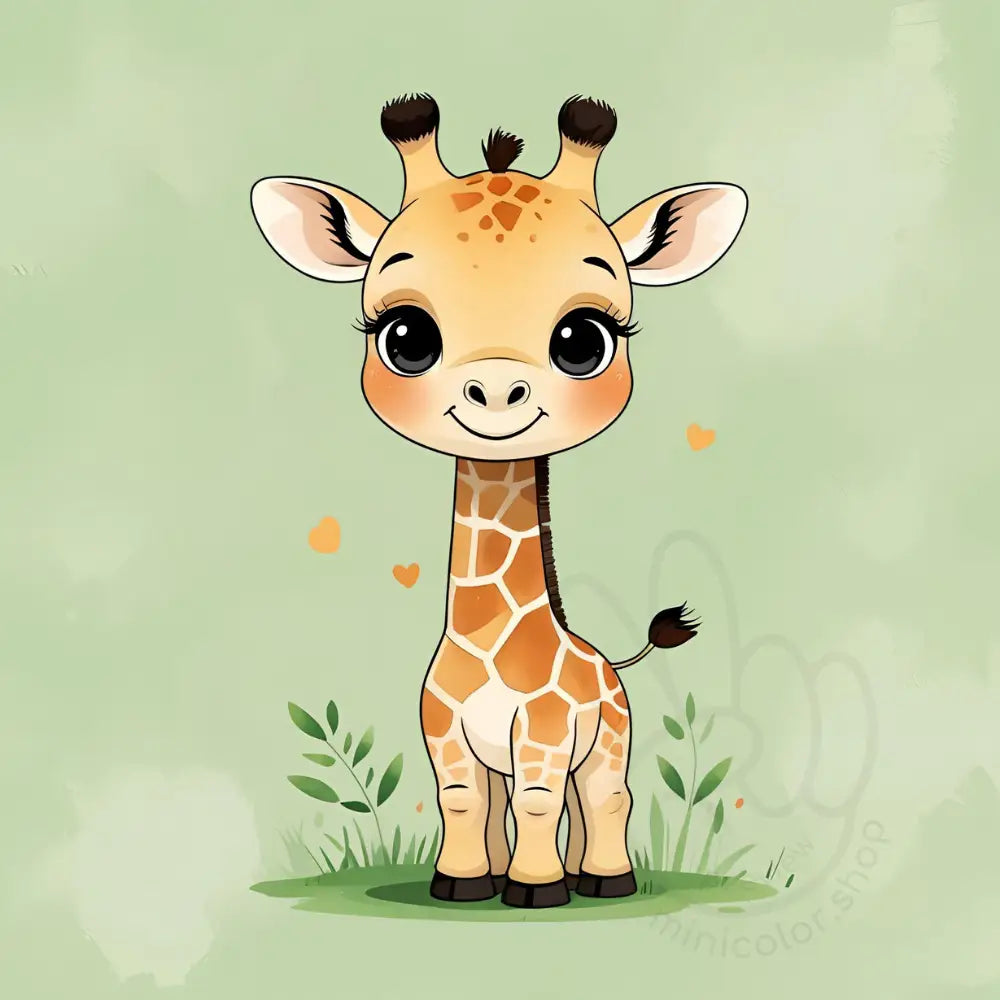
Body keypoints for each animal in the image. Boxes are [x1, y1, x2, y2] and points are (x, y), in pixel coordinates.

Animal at [250, 93, 747, 908]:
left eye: (583, 340)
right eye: (406, 336)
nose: (494, 392)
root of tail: (609, 659)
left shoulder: (542, 733)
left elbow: (537, 802)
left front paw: (536, 891)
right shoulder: (447, 735)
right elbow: (464, 802)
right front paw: (461, 883)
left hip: (607, 737)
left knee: (605, 796)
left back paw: (603, 881)